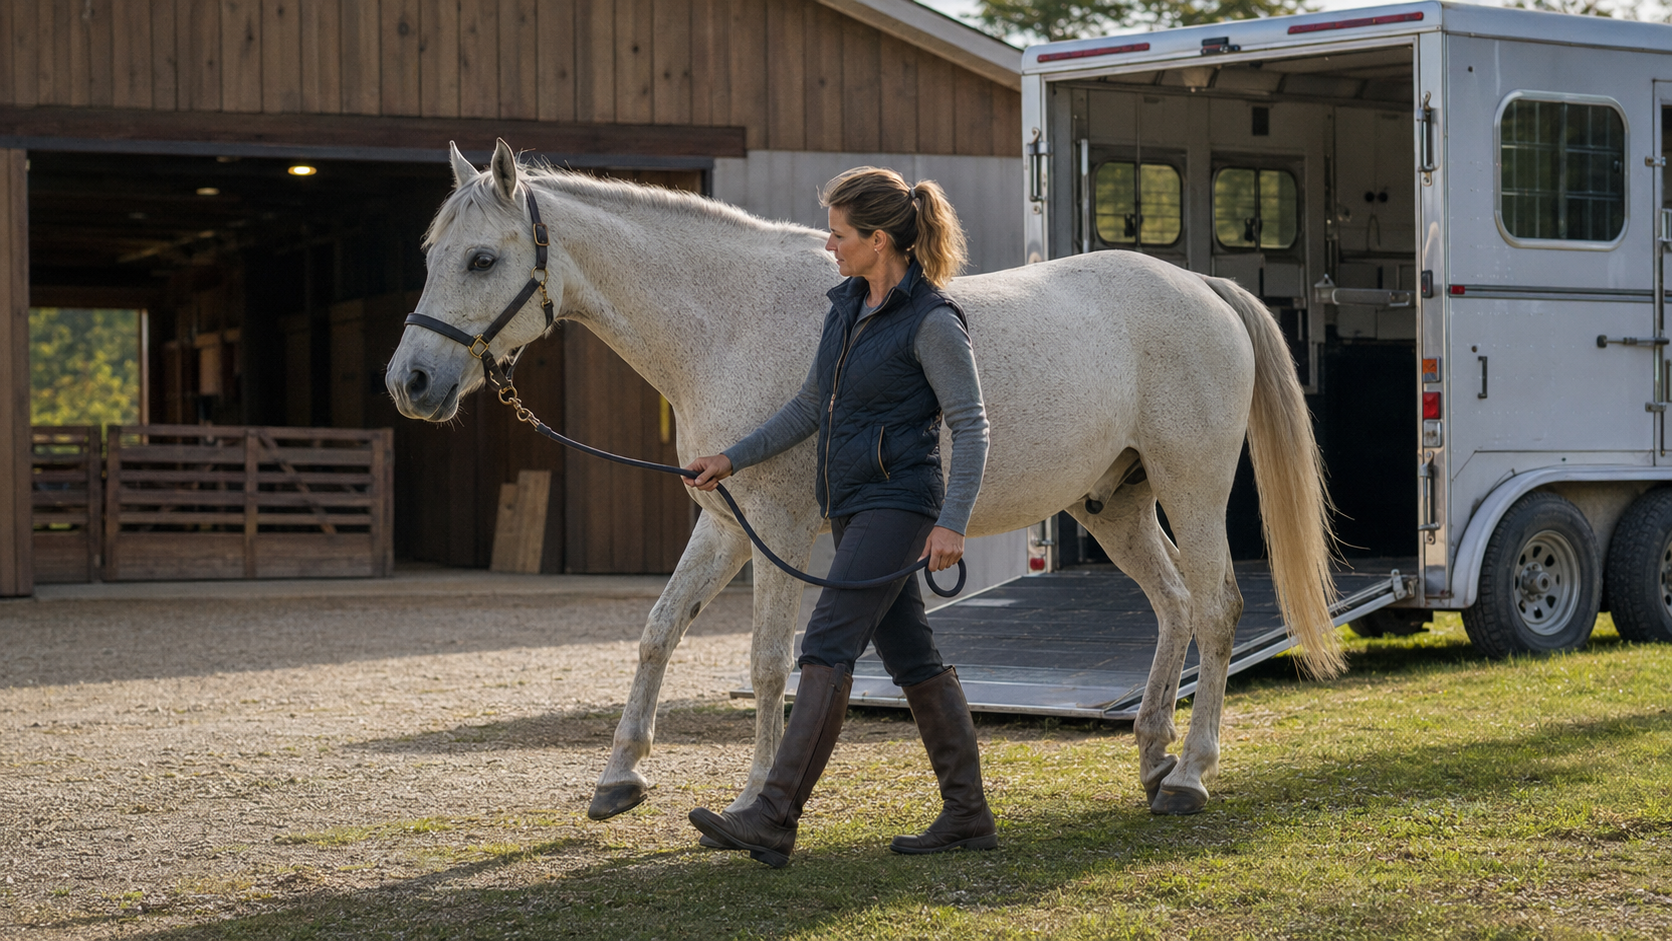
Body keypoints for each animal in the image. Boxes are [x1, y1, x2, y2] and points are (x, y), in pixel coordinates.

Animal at [385, 139, 1340, 823]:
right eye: (431, 252)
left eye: (481, 259)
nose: (410, 383)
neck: (729, 320)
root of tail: (1202, 286)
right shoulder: (724, 520)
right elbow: (658, 630)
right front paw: (619, 777)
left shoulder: (775, 529)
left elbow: (769, 661)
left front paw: (749, 795)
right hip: (1116, 502)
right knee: (1175, 606)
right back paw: (1152, 756)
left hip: (1192, 486)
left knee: (1216, 608)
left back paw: (1190, 775)